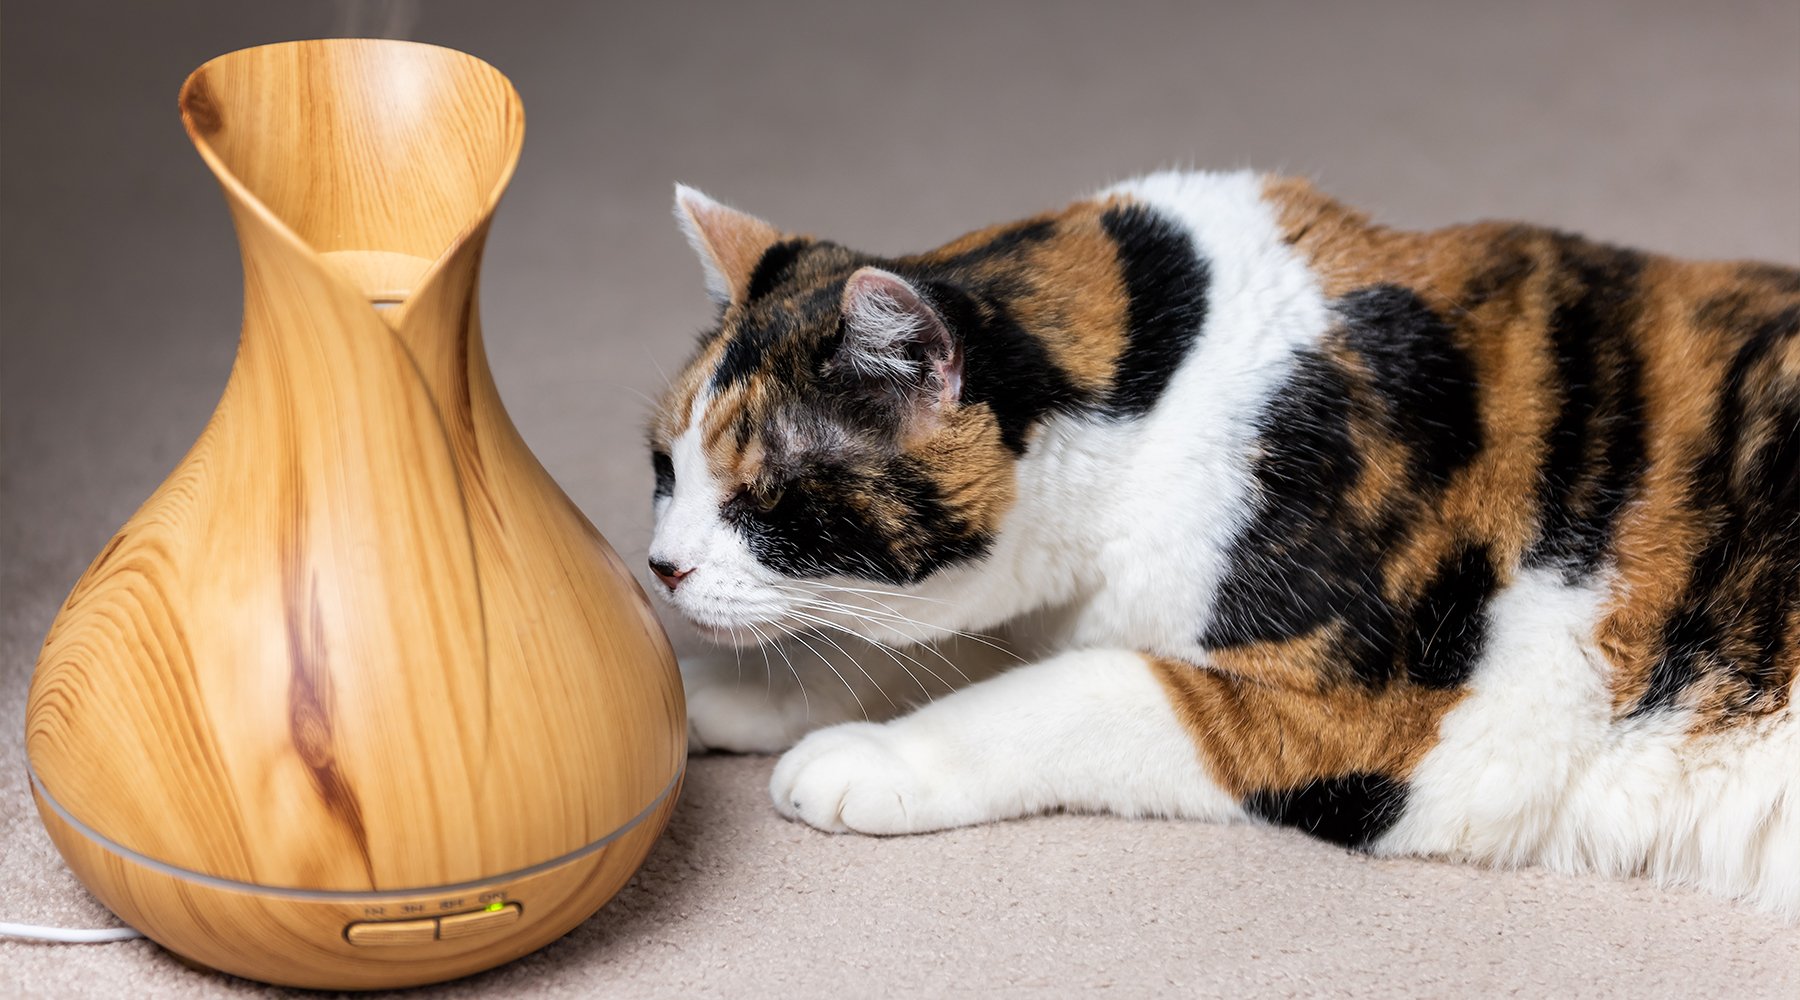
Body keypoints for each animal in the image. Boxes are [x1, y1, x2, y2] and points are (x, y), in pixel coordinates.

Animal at [648, 169, 1800, 913]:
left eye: (767, 498)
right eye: (665, 468)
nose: (661, 566)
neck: (1169, 365)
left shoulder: (1380, 720)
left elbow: (1075, 686)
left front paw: (874, 754)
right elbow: (946, 645)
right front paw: (735, 694)